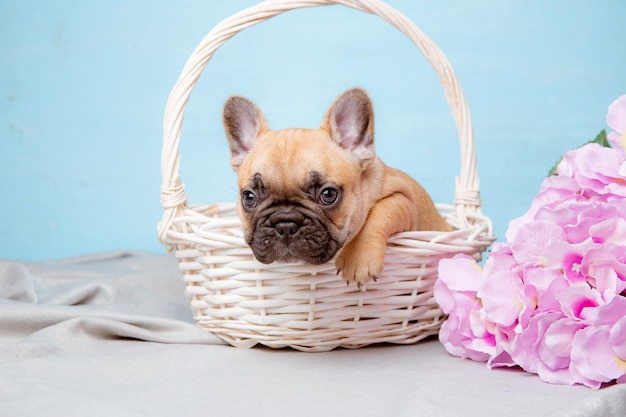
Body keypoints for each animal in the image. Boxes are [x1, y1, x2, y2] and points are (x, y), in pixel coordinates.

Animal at [222, 86, 450, 284]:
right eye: (249, 197)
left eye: (328, 195)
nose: (285, 224)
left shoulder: (404, 200)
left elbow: (381, 211)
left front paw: (358, 260)